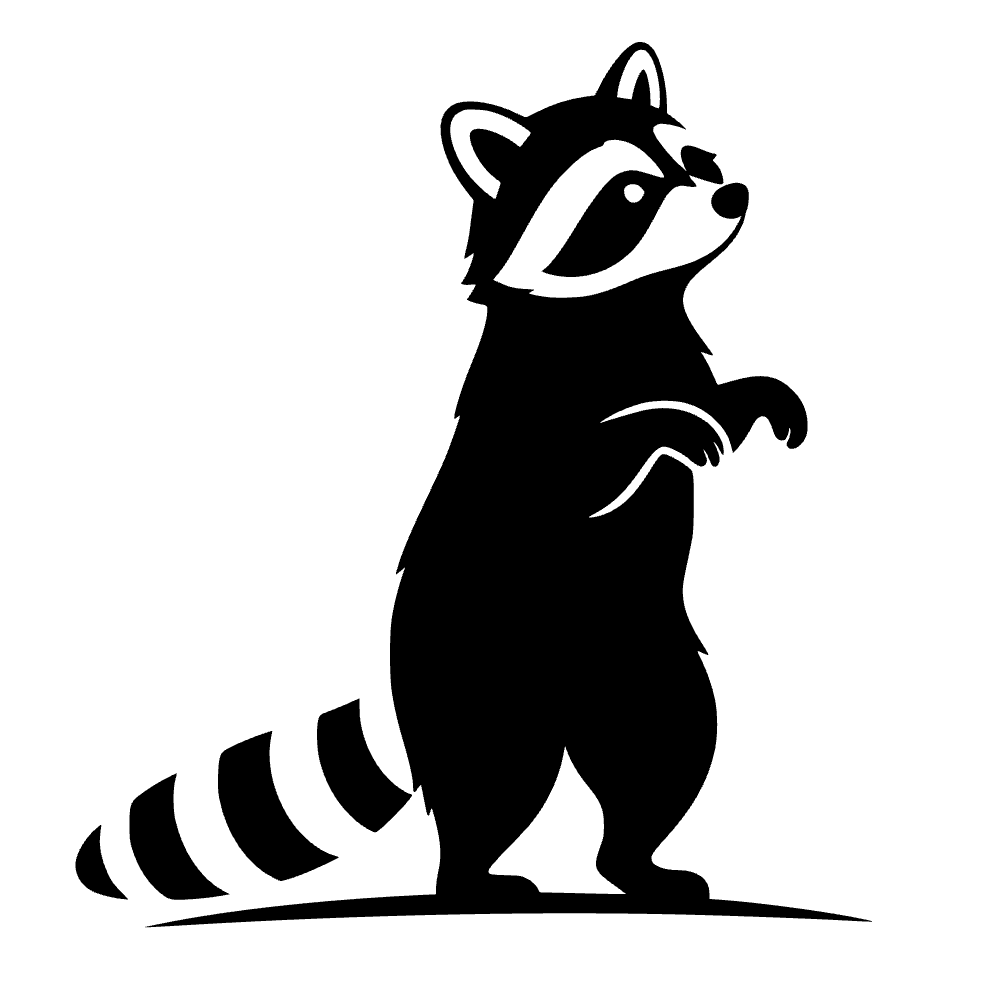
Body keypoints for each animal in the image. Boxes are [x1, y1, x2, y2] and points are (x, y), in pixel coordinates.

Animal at [77, 42, 806, 907]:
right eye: (631, 191)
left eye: (697, 161)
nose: (731, 193)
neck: (628, 304)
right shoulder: (527, 412)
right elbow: (568, 473)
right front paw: (665, 426)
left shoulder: (671, 349)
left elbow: (716, 393)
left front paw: (752, 399)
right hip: (482, 668)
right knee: (492, 776)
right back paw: (469, 876)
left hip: (638, 661)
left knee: (661, 750)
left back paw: (632, 862)